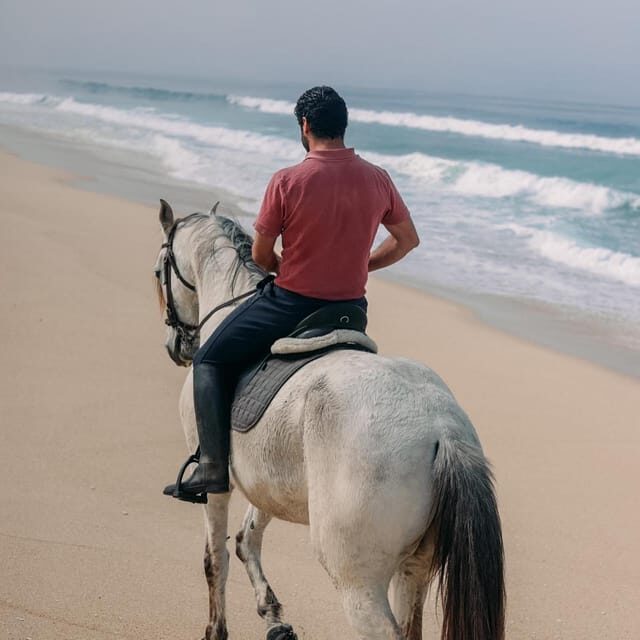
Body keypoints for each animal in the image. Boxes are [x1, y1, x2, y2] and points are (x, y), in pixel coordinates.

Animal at [153, 200, 505, 640]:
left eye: (158, 271)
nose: (176, 347)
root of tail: (441, 429)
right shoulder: (268, 479)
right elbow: (247, 539)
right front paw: (273, 617)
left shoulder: (218, 483)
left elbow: (214, 558)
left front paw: (217, 631)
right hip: (414, 567)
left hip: (358, 578)